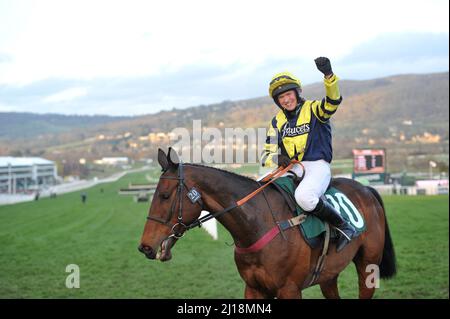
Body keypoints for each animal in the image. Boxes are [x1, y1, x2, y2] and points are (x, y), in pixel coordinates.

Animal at [139, 149, 396, 298]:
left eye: (164, 196)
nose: (145, 247)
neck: (258, 224)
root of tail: (367, 189)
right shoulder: (254, 289)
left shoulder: (289, 290)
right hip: (328, 275)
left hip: (368, 265)